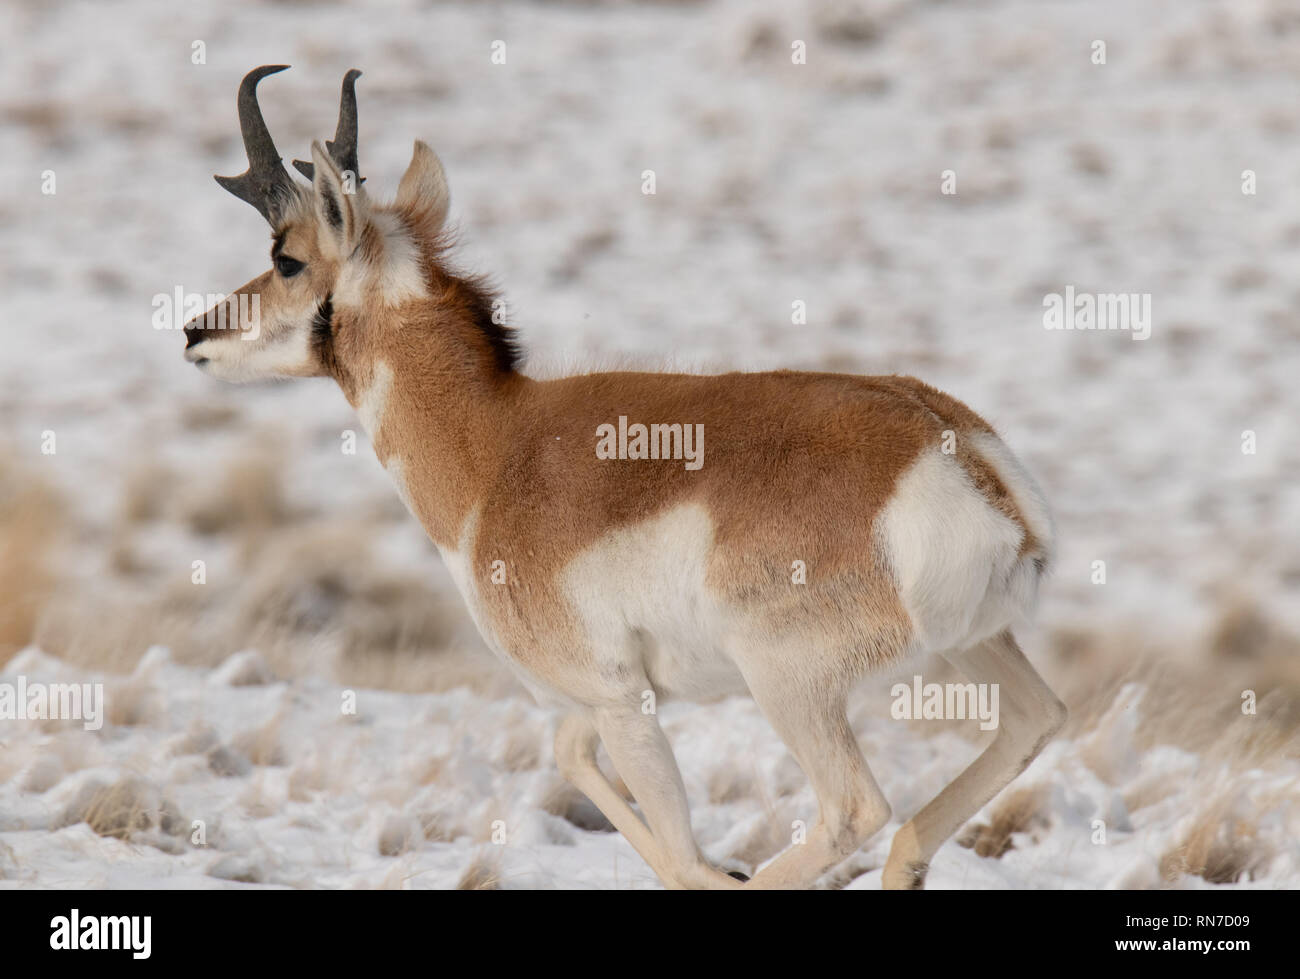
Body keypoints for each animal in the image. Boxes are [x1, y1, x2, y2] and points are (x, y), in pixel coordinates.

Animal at [188, 65, 1071, 889]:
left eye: (287, 259)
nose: (195, 330)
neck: (496, 446)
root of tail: (959, 458)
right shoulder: (606, 701)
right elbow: (571, 755)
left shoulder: (621, 703)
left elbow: (670, 848)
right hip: (978, 648)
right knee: (1031, 726)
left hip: (791, 687)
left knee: (856, 808)